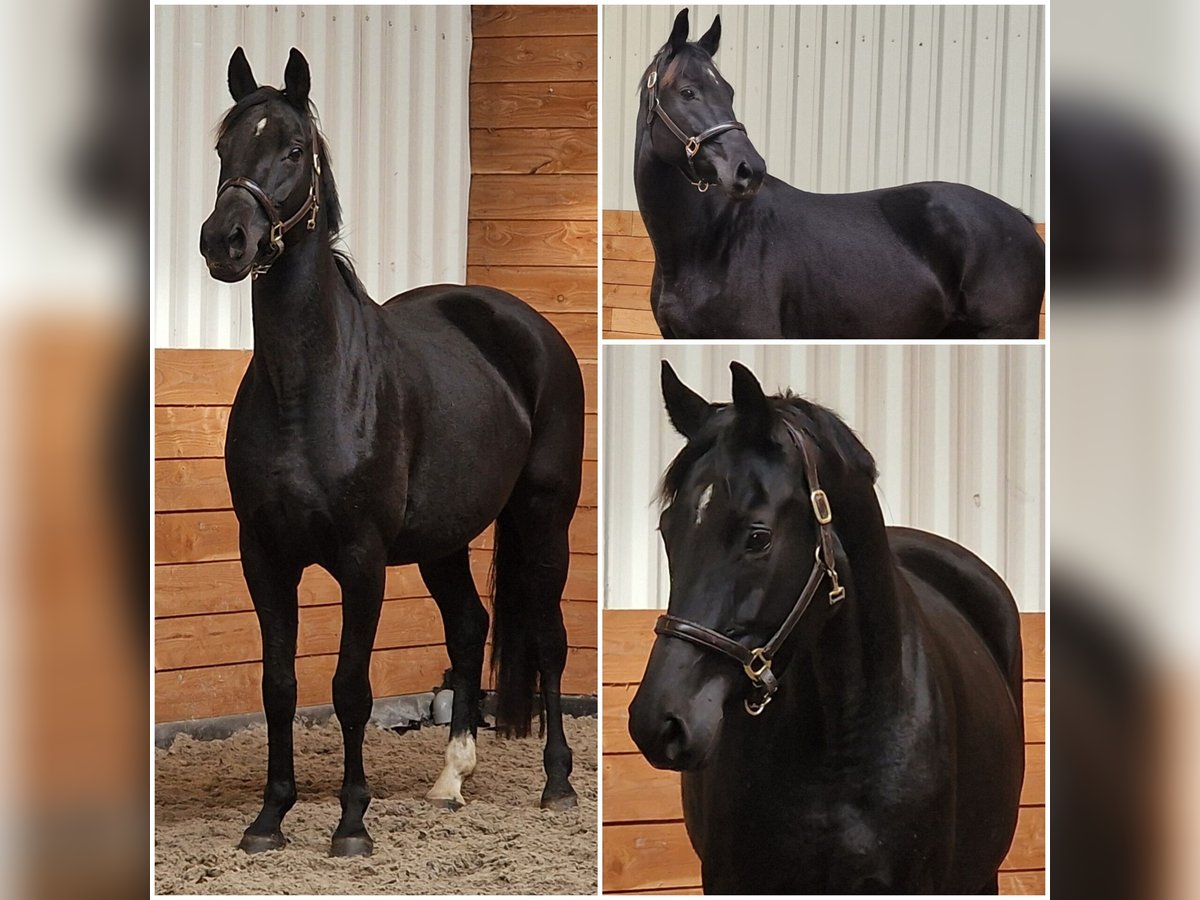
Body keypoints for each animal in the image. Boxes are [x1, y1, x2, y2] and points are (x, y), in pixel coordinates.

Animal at [197, 47, 584, 857]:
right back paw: (450, 780)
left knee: (550, 638)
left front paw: (351, 824)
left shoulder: (362, 557)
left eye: (294, 149)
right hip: (443, 540)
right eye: (224, 149)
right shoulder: (264, 555)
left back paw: (558, 785)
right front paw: (269, 818)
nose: (226, 242)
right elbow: (278, 685)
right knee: (469, 626)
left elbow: (350, 688)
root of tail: (529, 327)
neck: (307, 386)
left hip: (543, 521)